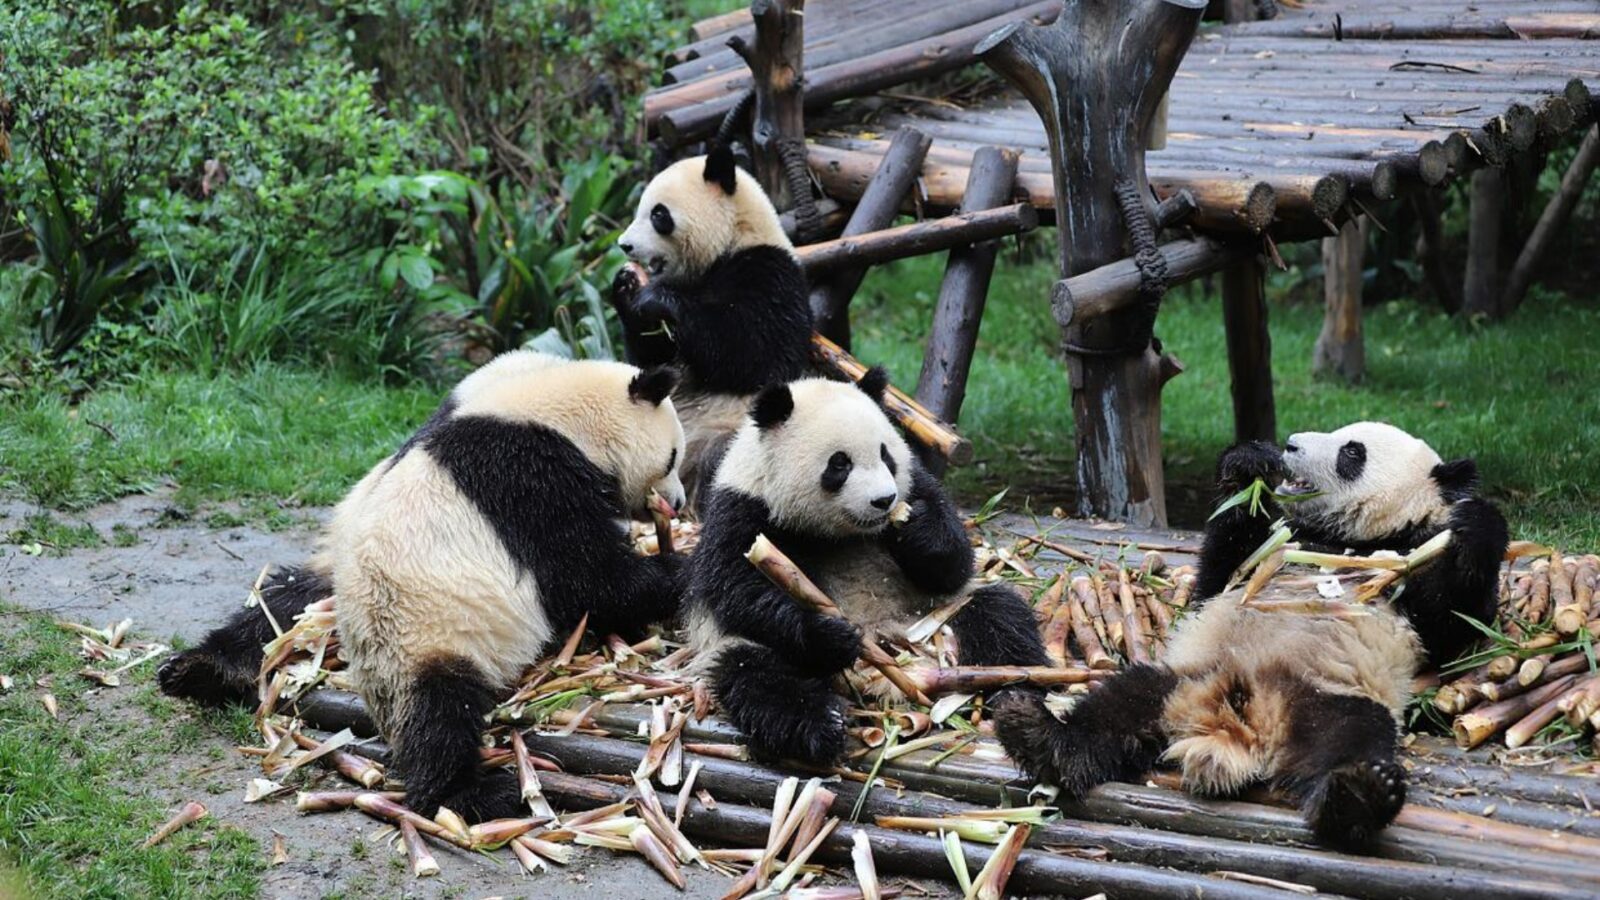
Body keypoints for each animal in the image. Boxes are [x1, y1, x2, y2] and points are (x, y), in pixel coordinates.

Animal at [160, 351, 689, 821]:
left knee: (277, 607)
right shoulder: (529, 478)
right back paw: (472, 794)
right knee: (438, 713)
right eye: (673, 458)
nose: (680, 504)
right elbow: (589, 577)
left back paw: (199, 669)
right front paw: (676, 570)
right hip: (424, 631)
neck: (556, 411)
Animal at [610, 144, 814, 505]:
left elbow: (752, 350)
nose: (625, 244)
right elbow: (654, 361)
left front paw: (657, 298)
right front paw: (626, 287)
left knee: (724, 460)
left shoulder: (772, 276)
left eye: (658, 215)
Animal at [685, 370, 1051, 764]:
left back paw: (1016, 694)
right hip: (742, 648)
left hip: (936, 615)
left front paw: (916, 527)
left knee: (999, 616)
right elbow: (738, 590)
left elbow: (954, 562)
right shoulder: (742, 510)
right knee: (757, 674)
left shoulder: (917, 484)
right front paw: (830, 634)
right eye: (839, 463)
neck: (841, 533)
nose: (884, 500)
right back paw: (821, 724)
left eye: (886, 455)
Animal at [995, 422, 1509, 848]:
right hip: (1185, 676)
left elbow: (1454, 628)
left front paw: (1478, 522)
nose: (1292, 444)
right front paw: (1249, 465)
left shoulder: (1408, 562)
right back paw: (1037, 734)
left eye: (1352, 451)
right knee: (1121, 703)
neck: (1349, 540)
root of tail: (1242, 722)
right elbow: (1218, 574)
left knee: (1349, 738)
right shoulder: (1272, 549)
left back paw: (1358, 795)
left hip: (1331, 699)